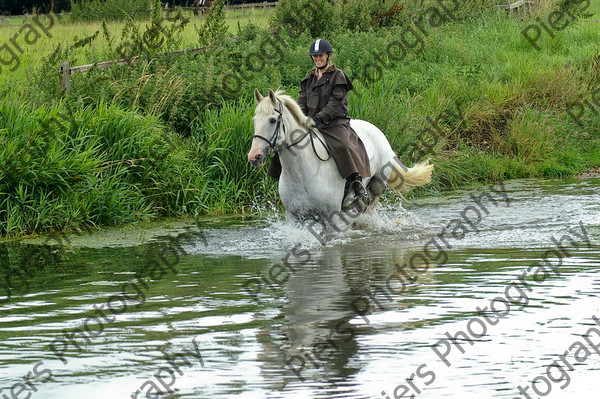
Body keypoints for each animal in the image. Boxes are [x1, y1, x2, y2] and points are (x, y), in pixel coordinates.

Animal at [246, 89, 434, 222]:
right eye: (254, 120)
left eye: (272, 120)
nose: (254, 156)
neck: (303, 172)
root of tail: (377, 130)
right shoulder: (294, 217)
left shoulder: (330, 215)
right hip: (355, 197)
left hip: (378, 184)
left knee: (370, 207)